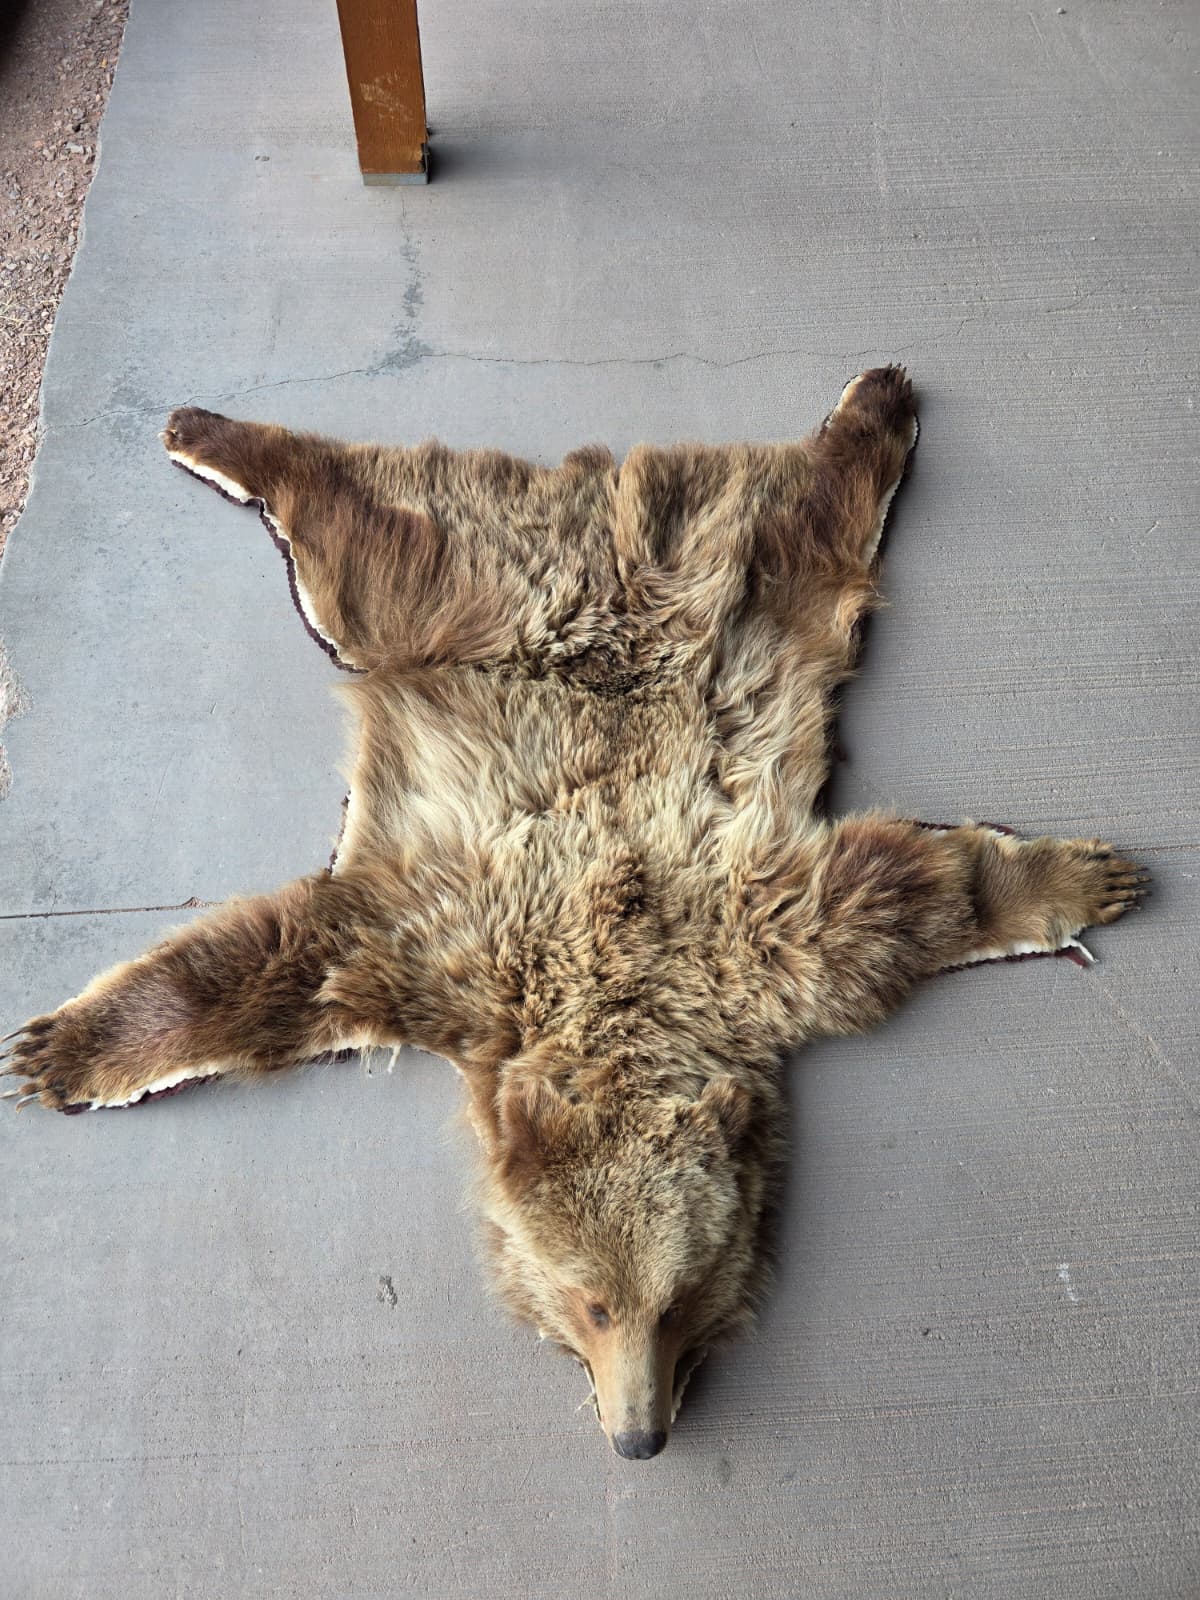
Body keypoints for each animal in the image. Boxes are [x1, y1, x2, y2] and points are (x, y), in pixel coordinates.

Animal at [3, 367, 1146, 1459]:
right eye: (590, 1304)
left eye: (675, 1302)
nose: (638, 1435)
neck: (619, 993)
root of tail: (605, 539)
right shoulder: (441, 948)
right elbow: (269, 966)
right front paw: (58, 1051)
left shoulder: (773, 938)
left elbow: (915, 892)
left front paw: (1086, 876)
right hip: (450, 604)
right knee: (360, 533)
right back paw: (211, 432)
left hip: (753, 605)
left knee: (808, 525)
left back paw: (876, 405)